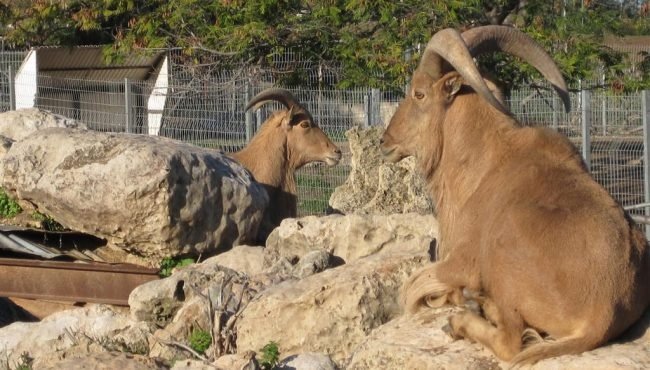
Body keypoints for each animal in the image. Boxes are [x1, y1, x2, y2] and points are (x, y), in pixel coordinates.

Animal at [380, 25, 648, 364]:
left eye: (419, 93)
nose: (384, 141)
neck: (481, 164)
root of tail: (601, 314)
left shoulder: (461, 262)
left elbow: (410, 291)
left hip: (503, 255)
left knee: (510, 341)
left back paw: (464, 317)